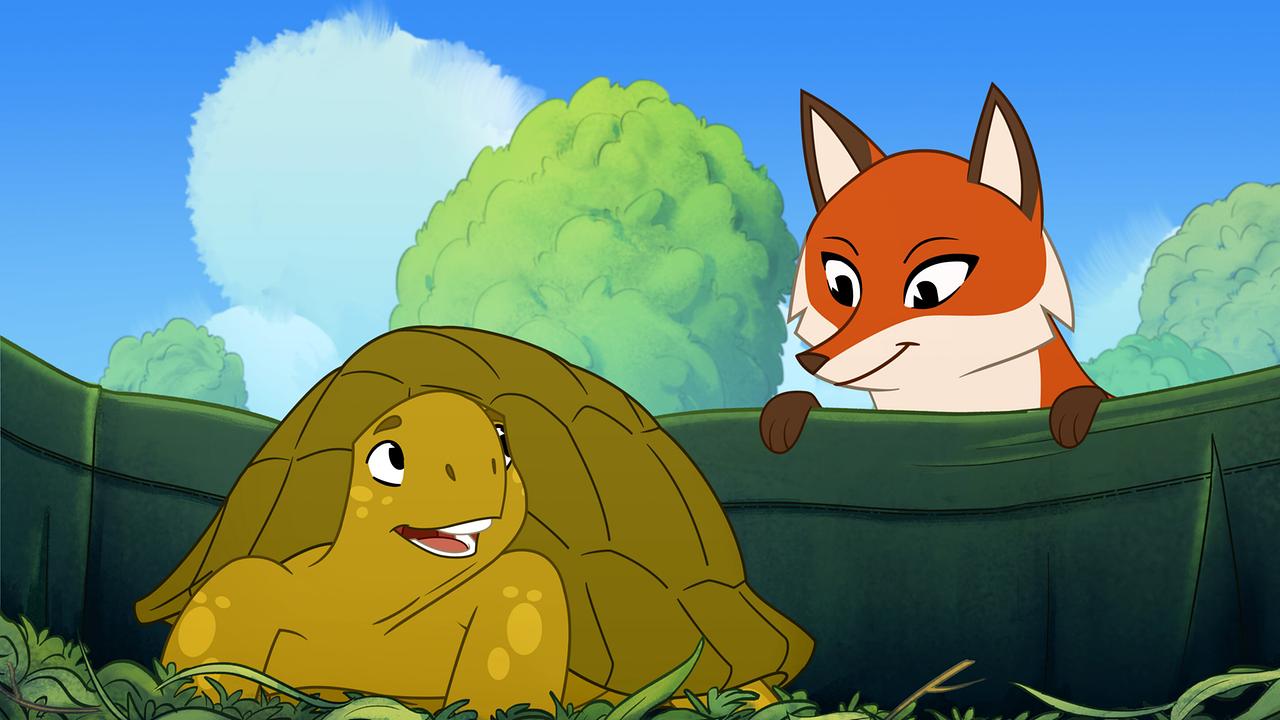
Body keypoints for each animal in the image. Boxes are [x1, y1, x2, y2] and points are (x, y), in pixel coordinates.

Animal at [760, 84, 1108, 453]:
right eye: (841, 285)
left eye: (928, 289)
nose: (812, 360)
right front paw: (791, 407)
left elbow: (1089, 396)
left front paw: (1079, 404)